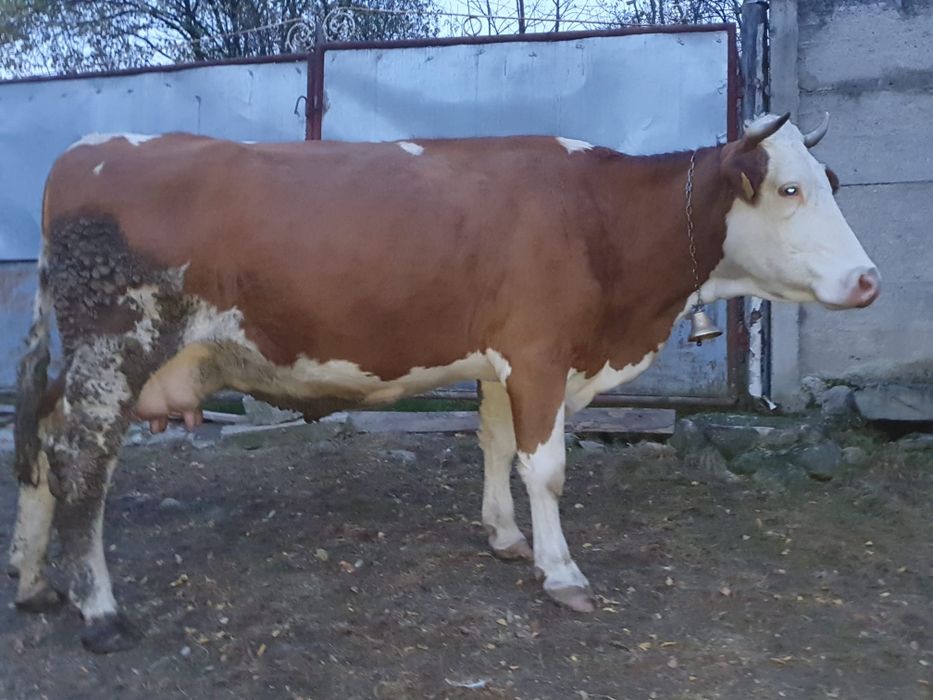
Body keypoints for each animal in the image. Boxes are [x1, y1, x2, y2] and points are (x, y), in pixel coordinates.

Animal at [9, 112, 879, 653]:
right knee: (82, 459)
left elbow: (494, 444)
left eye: (830, 180)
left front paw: (503, 536)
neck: (602, 219)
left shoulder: (499, 358)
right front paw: (560, 573)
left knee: (42, 445)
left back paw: (33, 579)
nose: (869, 280)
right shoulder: (538, 351)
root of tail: (82, 149)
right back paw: (100, 610)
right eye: (789, 188)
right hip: (115, 345)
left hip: (88, 359)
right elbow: (546, 466)